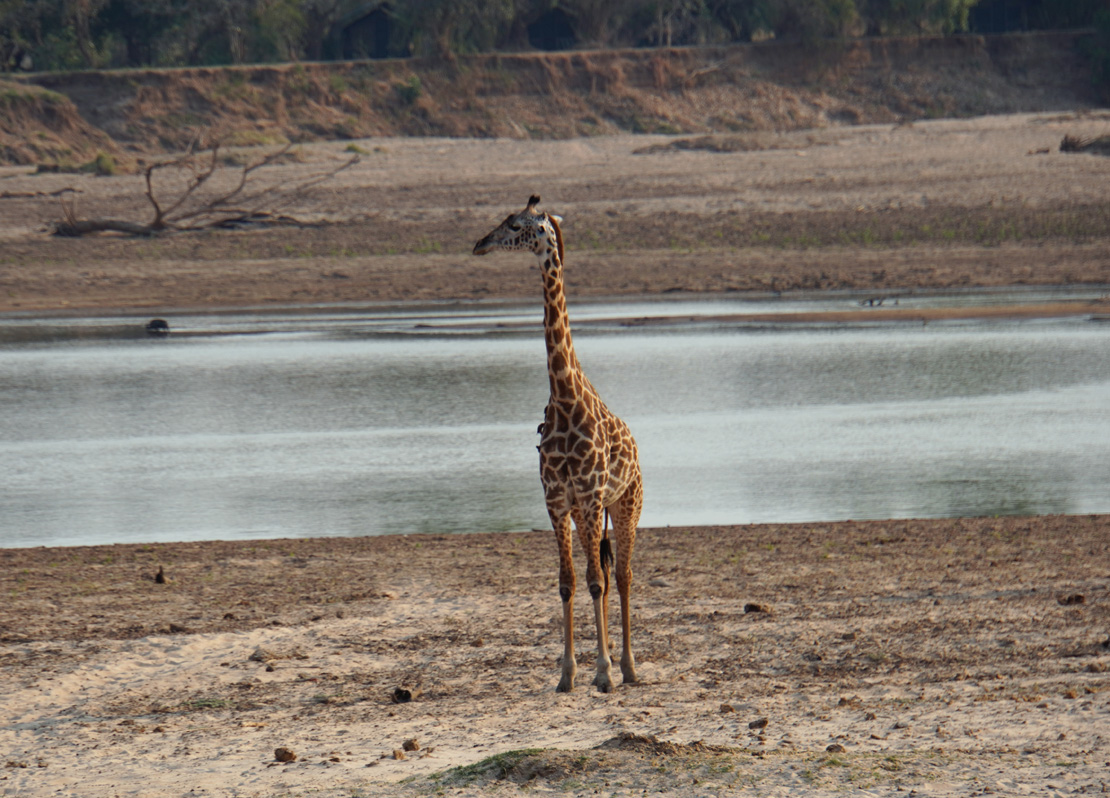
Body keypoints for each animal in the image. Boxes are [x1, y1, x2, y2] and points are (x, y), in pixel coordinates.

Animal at [473, 195, 643, 693]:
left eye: (515, 225)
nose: (480, 243)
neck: (565, 398)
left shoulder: (587, 495)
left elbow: (596, 581)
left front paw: (604, 671)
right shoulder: (556, 500)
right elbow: (568, 581)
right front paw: (568, 672)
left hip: (625, 502)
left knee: (621, 575)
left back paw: (628, 666)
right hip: (591, 511)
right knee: (602, 571)